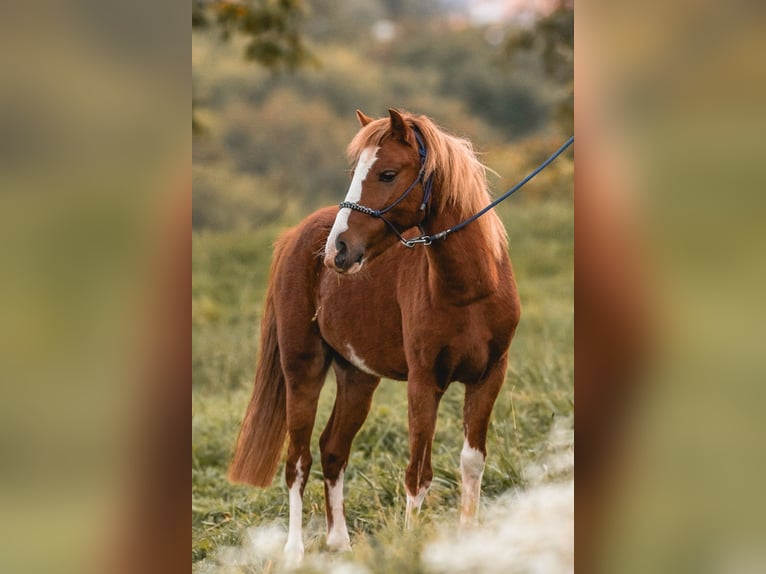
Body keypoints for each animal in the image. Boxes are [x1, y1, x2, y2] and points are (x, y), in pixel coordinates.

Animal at [229, 109, 521, 563]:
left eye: (387, 173)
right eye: (356, 172)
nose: (338, 250)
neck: (469, 289)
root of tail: (296, 236)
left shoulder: (489, 376)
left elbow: (472, 462)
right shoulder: (423, 382)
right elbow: (418, 472)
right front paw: (412, 545)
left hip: (357, 378)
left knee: (333, 450)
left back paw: (340, 543)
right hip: (302, 371)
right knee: (298, 459)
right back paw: (294, 552)